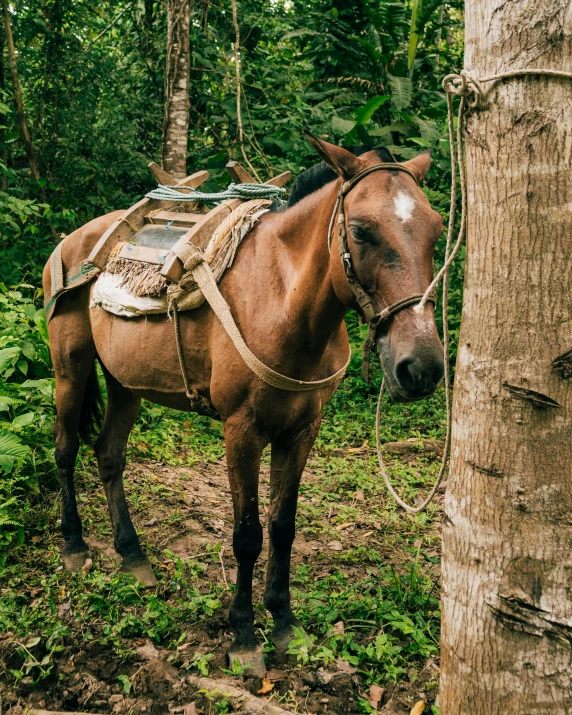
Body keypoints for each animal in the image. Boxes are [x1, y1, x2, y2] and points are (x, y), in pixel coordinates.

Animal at [42, 136, 444, 676]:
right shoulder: (242, 430)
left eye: (436, 229)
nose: (421, 367)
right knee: (65, 449)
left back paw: (132, 554)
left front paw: (284, 622)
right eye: (360, 230)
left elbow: (283, 525)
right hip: (71, 368)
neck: (284, 303)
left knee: (108, 454)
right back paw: (74, 544)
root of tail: (73, 240)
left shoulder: (302, 430)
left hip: (125, 382)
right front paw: (245, 636)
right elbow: (248, 534)